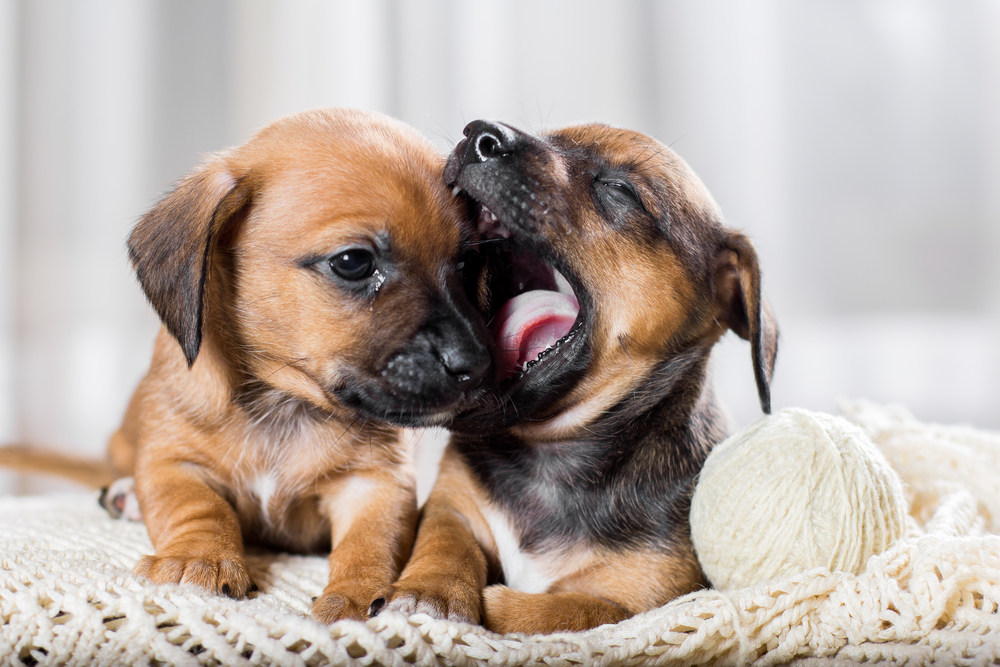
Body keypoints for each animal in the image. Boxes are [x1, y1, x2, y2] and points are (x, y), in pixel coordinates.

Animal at [7, 109, 490, 628]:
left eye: (467, 264)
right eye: (353, 262)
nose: (477, 366)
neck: (284, 401)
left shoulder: (376, 483)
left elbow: (371, 541)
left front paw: (358, 595)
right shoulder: (172, 462)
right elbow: (200, 507)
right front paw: (198, 559)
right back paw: (126, 495)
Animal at [386, 120, 776, 636]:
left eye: (620, 190)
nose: (480, 136)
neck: (552, 455)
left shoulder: (637, 604)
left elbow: (553, 610)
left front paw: (492, 605)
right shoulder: (453, 506)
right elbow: (443, 544)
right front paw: (427, 592)